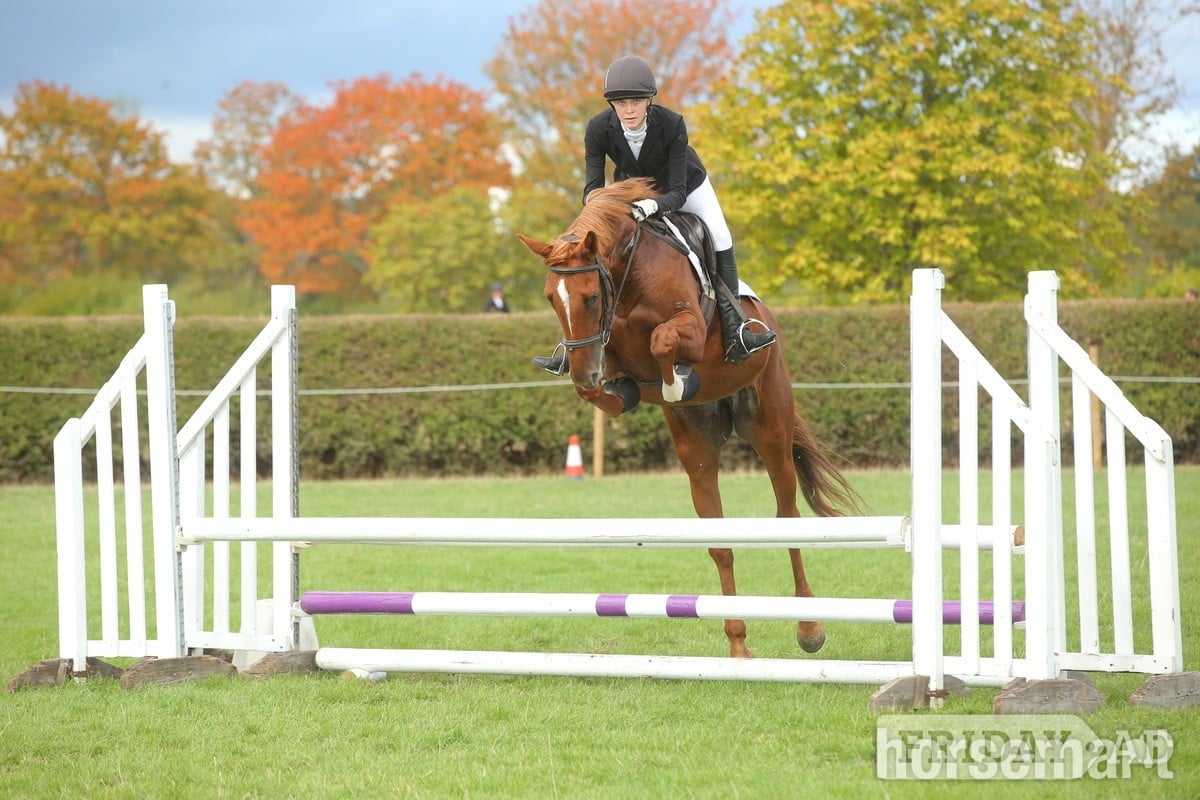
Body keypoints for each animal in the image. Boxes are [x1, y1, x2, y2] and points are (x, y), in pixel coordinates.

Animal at [518, 177, 863, 658]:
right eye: (552, 299)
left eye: (591, 297)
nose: (583, 374)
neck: (627, 277)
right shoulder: (611, 350)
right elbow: (615, 380)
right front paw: (620, 393)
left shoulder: (690, 331)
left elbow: (663, 341)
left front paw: (675, 382)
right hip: (698, 453)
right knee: (721, 545)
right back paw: (738, 646)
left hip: (771, 429)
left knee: (788, 516)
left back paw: (810, 629)